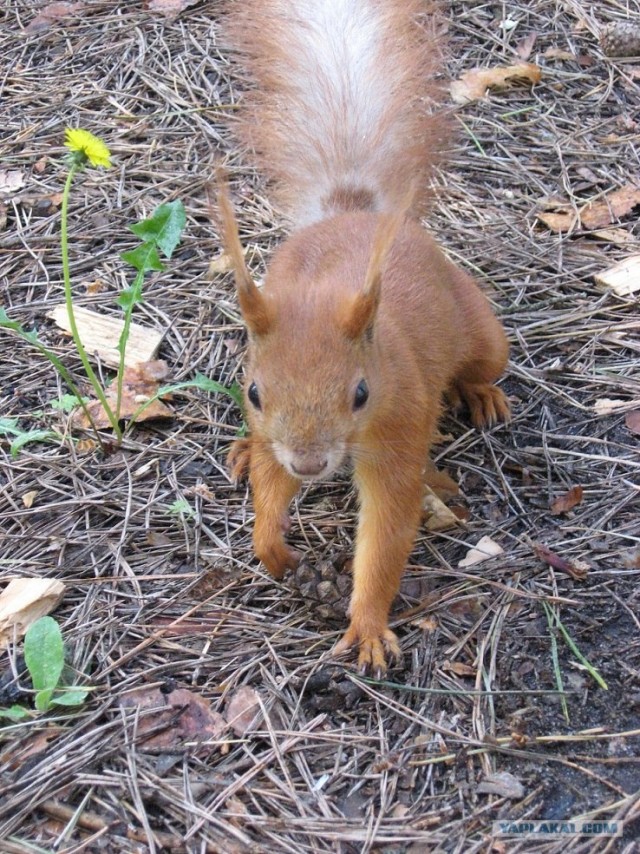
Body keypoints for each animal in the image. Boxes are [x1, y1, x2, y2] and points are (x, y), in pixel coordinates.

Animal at [220, 0, 510, 676]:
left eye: (360, 394)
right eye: (254, 392)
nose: (310, 463)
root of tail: (353, 212)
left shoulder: (399, 426)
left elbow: (386, 530)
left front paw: (369, 625)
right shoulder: (275, 433)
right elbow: (272, 489)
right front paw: (272, 547)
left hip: (481, 327)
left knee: (484, 362)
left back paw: (481, 397)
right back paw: (243, 452)